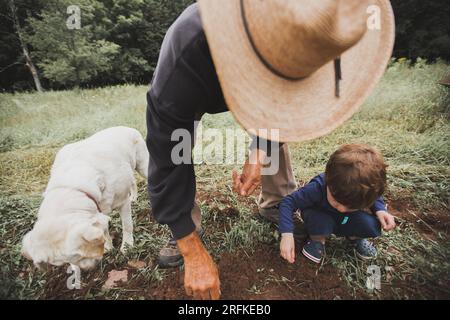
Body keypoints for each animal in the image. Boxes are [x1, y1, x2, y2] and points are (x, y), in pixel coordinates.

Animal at [22, 127, 149, 270]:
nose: (88, 269)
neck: (73, 185)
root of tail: (126, 127)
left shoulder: (122, 201)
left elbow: (127, 225)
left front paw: (127, 247)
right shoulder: (98, 212)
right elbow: (104, 230)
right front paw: (108, 247)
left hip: (142, 165)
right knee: (133, 181)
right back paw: (134, 197)